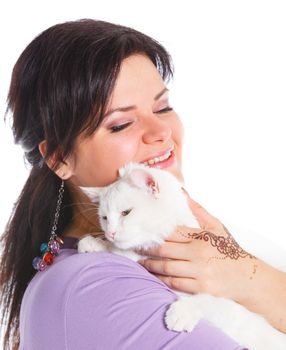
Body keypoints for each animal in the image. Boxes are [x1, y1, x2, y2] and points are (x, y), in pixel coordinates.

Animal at [77, 163, 286, 348]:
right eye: (104, 218)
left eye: (126, 213)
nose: (110, 232)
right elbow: (120, 252)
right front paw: (95, 243)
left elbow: (206, 298)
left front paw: (182, 313)